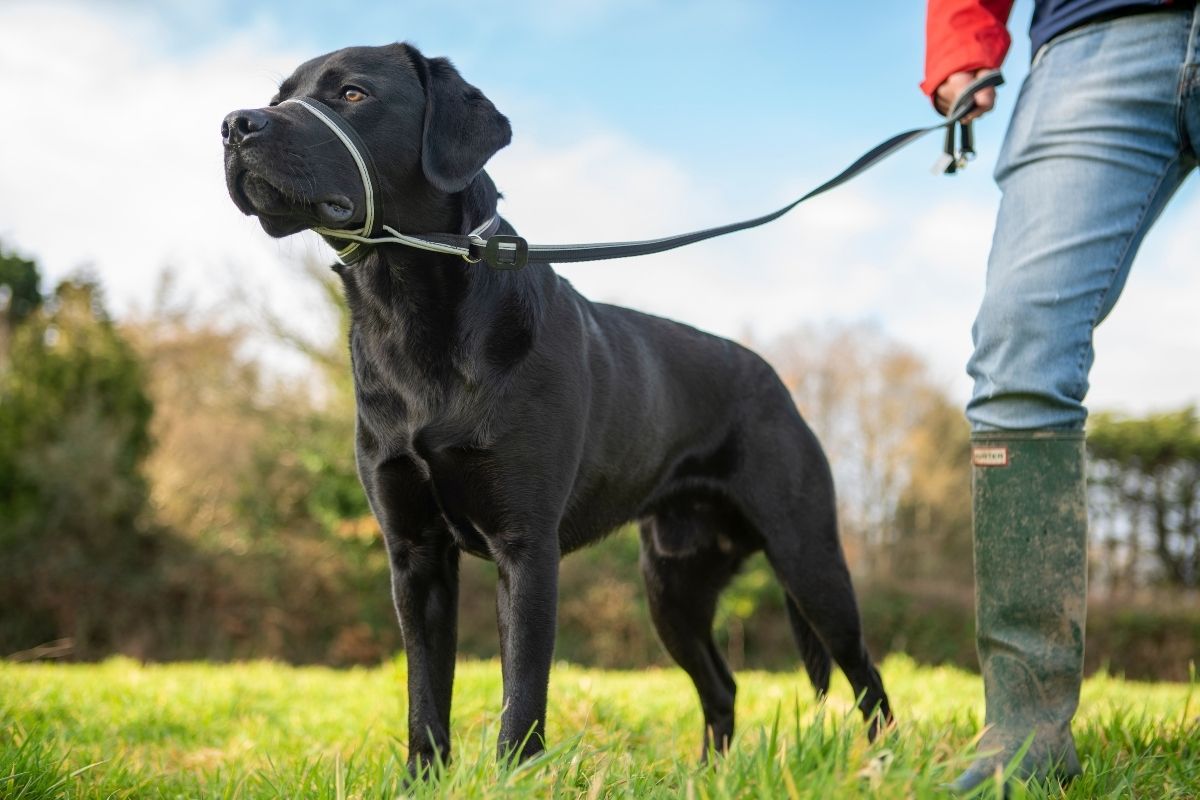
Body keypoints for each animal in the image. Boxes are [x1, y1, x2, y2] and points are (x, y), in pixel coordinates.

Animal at [220, 42, 892, 767]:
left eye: (351, 93)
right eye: (280, 95)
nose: (234, 124)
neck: (404, 313)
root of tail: (776, 381)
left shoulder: (527, 547)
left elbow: (522, 698)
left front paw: (511, 773)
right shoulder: (415, 555)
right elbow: (425, 703)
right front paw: (421, 778)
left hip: (808, 558)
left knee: (865, 673)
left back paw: (884, 765)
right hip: (673, 586)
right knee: (723, 685)